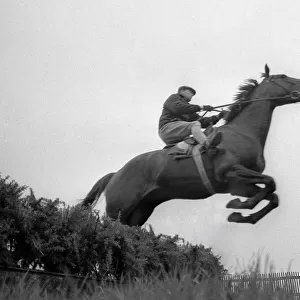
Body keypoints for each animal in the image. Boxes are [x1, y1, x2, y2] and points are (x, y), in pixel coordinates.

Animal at [81, 65, 300, 225]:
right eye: (283, 76)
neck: (243, 132)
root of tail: (115, 174)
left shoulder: (240, 185)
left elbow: (273, 196)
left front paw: (240, 213)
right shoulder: (230, 171)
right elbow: (271, 182)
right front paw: (237, 205)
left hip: (139, 211)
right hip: (118, 209)